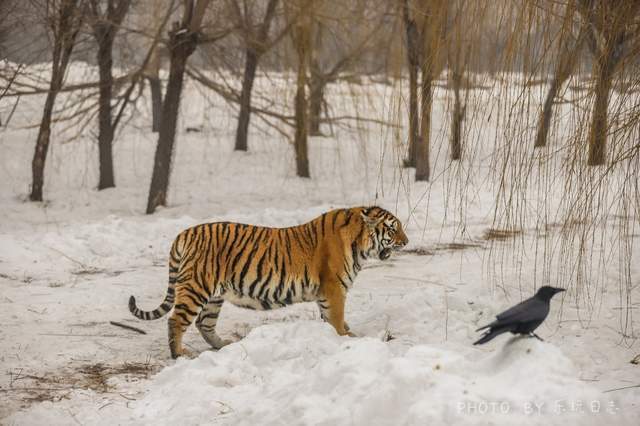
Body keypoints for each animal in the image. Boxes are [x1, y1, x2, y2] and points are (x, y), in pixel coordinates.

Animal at [129, 206, 408, 356]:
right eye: (393, 229)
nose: (406, 241)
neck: (359, 243)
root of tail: (185, 233)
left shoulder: (325, 294)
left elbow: (330, 319)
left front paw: (345, 335)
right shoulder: (334, 289)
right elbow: (337, 320)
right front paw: (345, 339)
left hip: (213, 297)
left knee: (203, 323)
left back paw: (224, 345)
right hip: (196, 288)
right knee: (176, 320)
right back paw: (179, 355)